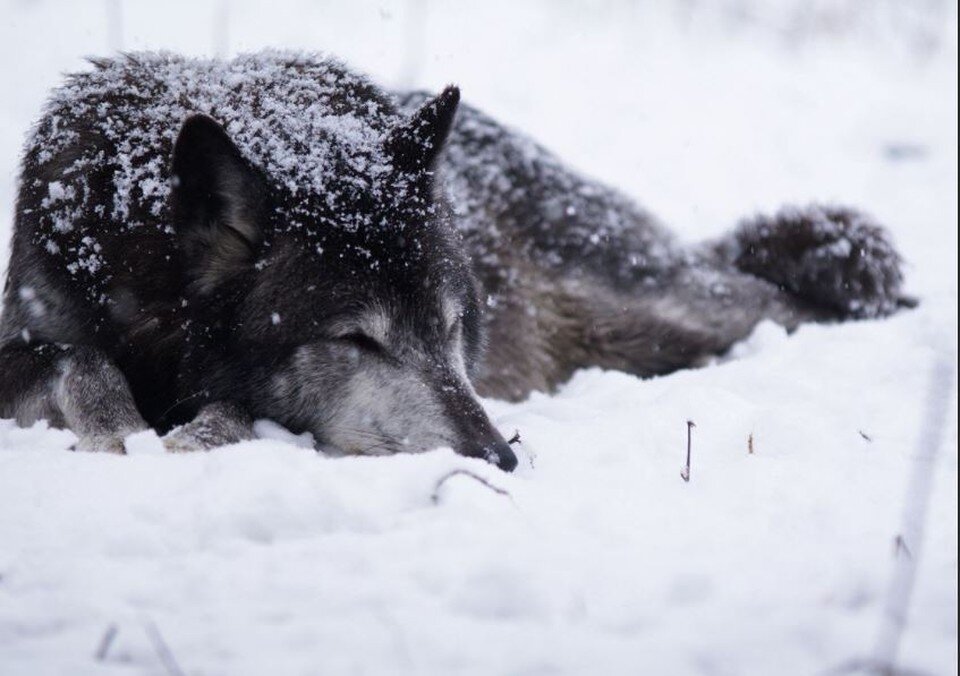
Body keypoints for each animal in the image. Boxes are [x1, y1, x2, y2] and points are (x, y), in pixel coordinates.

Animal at [0, 52, 916, 470]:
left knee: (785, 300)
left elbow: (225, 405)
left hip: (660, 310)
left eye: (449, 329)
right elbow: (77, 358)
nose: (500, 459)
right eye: (356, 340)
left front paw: (191, 434)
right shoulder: (32, 328)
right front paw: (124, 427)